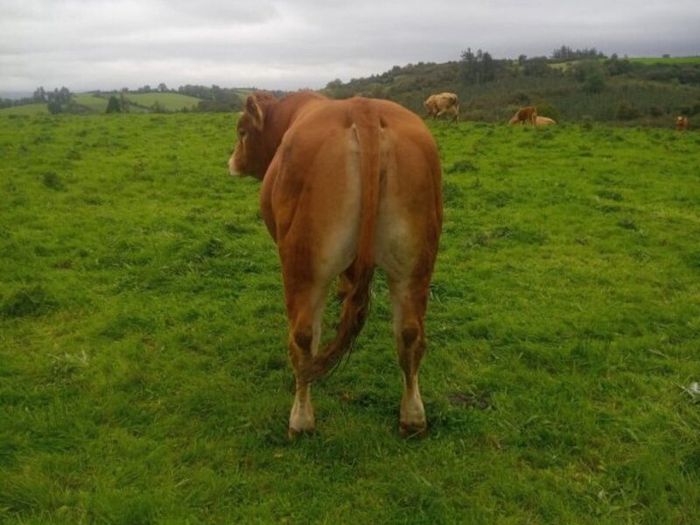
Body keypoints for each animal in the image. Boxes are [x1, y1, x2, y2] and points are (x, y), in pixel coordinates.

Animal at [229, 92, 443, 437]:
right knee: (410, 334)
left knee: (303, 339)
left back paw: (301, 419)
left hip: (303, 266)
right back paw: (413, 416)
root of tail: (363, 108)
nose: (232, 162)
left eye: (242, 132)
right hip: (415, 264)